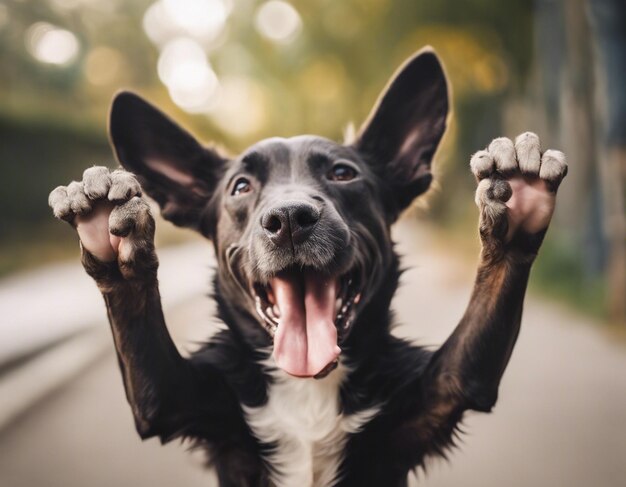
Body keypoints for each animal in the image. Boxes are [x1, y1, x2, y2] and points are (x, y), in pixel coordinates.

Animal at [48, 46, 564, 487]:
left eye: (342, 173)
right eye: (240, 186)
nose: (290, 220)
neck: (308, 389)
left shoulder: (444, 391)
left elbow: (490, 296)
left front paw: (517, 204)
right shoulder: (173, 399)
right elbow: (136, 318)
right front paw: (113, 234)